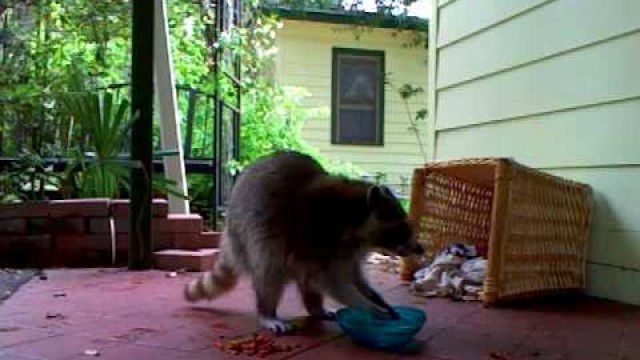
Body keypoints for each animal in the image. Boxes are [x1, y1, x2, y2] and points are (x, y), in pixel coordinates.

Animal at [184, 150, 424, 334]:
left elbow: (355, 278)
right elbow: (335, 283)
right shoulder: (319, 236)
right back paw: (267, 311)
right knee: (269, 268)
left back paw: (314, 306)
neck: (355, 214)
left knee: (304, 277)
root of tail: (228, 229)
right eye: (402, 229)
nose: (420, 248)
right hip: (251, 233)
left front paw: (377, 299)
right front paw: (368, 307)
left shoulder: (350, 251)